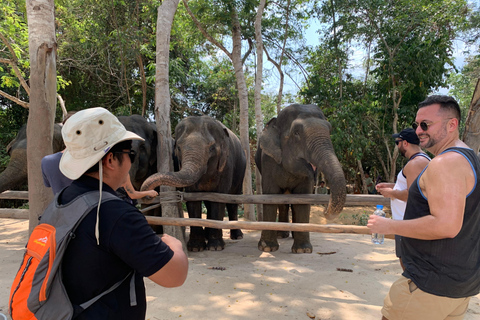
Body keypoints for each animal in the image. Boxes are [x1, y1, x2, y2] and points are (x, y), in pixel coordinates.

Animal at [139, 115, 244, 252]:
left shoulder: (226, 166)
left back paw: (237, 236)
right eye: (178, 147)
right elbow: (192, 199)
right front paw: (195, 247)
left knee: (233, 201)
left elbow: (219, 199)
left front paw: (215, 247)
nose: (149, 195)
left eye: (211, 148)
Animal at [256, 104, 346, 254]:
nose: (324, 210)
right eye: (296, 133)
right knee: (282, 202)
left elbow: (302, 200)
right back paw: (281, 235)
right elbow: (270, 197)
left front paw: (302, 250)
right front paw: (267, 248)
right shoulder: (267, 161)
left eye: (330, 130)